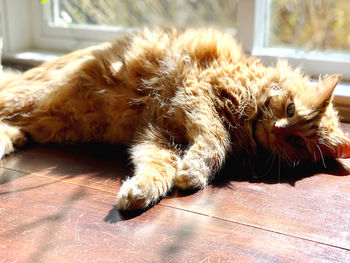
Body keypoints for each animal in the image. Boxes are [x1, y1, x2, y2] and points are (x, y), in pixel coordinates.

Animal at [0, 28, 350, 210]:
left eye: (298, 142)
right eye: (290, 110)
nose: (278, 130)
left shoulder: (158, 136)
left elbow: (159, 167)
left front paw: (141, 192)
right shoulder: (199, 94)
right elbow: (215, 140)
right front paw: (194, 171)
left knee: (15, 124)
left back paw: (8, 140)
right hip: (30, 94)